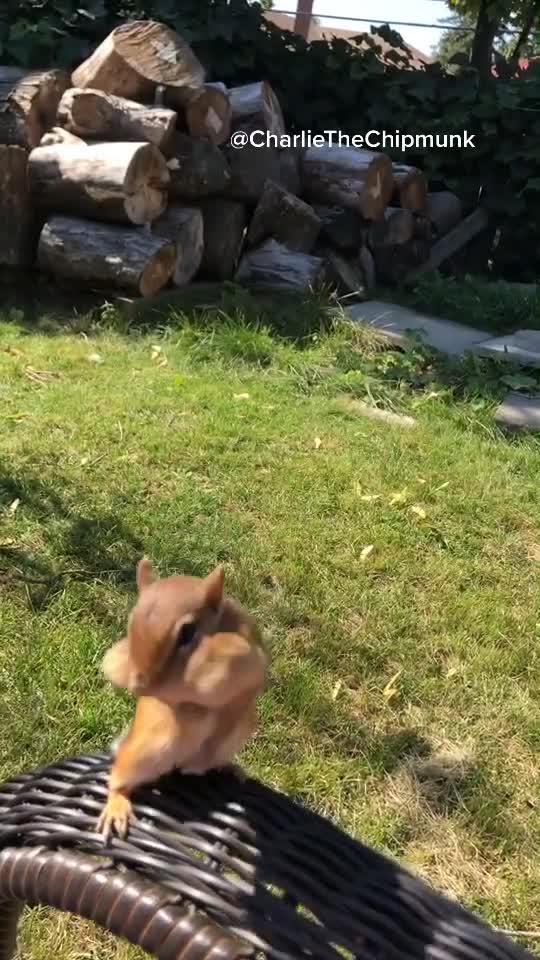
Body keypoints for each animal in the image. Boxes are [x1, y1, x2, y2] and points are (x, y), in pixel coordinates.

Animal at [96, 558, 268, 840]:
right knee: (118, 777)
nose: (140, 684)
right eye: (131, 623)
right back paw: (117, 806)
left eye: (187, 631)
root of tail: (186, 763)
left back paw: (228, 768)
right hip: (148, 751)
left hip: (235, 737)